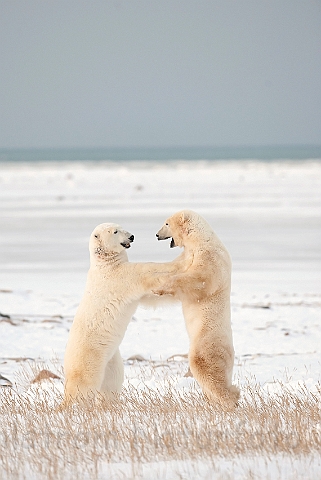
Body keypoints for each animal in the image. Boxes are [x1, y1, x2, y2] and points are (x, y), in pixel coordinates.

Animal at [62, 221, 188, 404]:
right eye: (115, 231)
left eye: (122, 227)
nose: (132, 236)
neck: (105, 264)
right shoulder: (120, 278)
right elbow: (145, 272)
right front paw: (179, 263)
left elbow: (151, 297)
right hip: (89, 357)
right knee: (83, 386)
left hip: (111, 359)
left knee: (112, 382)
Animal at [156, 210, 239, 408]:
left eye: (166, 223)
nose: (156, 235)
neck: (200, 239)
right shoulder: (187, 256)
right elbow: (175, 266)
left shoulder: (209, 256)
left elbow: (199, 279)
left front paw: (161, 287)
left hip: (207, 343)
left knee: (204, 365)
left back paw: (230, 398)